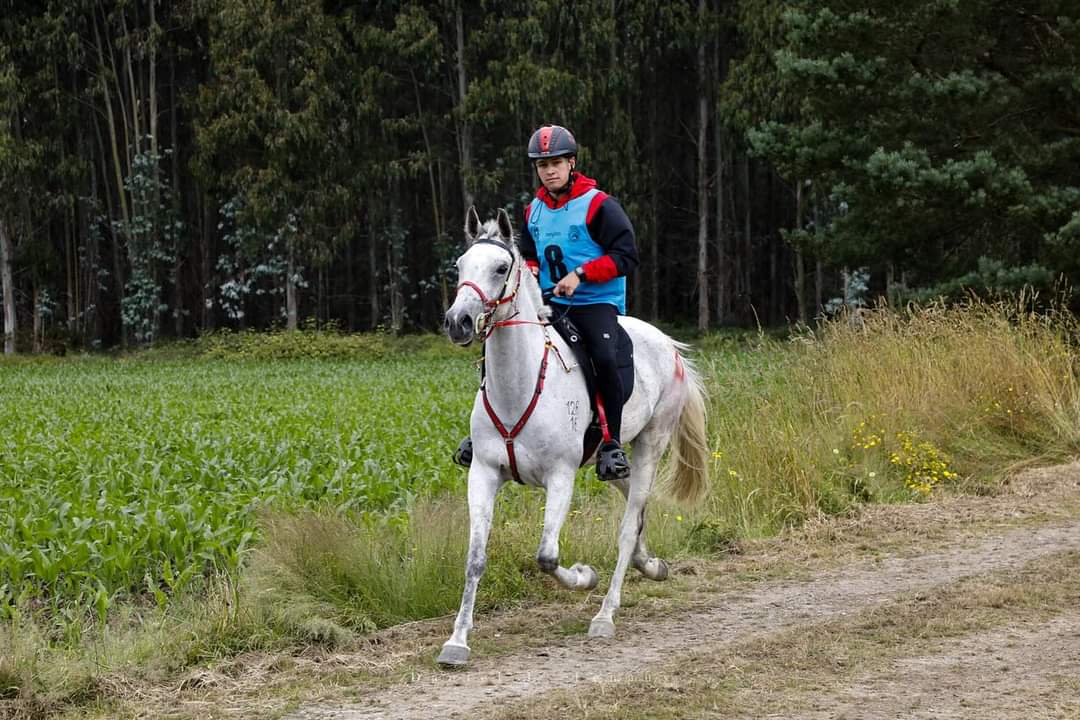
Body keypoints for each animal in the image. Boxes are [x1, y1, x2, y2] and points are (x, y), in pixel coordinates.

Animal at [438, 205, 708, 669]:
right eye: (460, 266)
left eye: (501, 267)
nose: (459, 322)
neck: (520, 385)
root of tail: (668, 344)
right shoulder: (484, 474)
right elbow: (475, 559)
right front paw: (456, 642)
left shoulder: (560, 477)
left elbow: (547, 557)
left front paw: (585, 576)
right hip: (614, 462)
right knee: (635, 514)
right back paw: (652, 566)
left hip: (650, 445)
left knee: (628, 525)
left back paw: (605, 614)